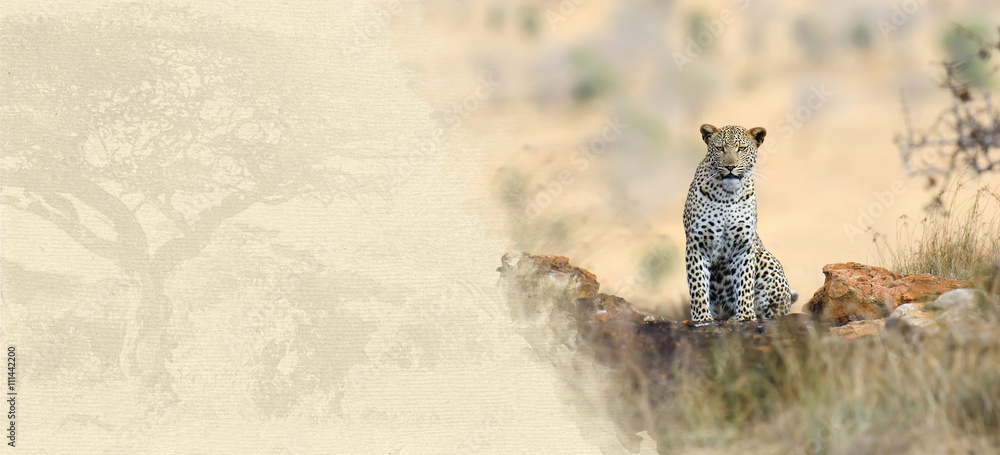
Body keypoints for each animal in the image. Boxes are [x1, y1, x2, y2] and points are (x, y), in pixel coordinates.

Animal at [683, 123, 796, 322]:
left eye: (741, 148)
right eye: (720, 148)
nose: (730, 166)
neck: (727, 195)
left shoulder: (743, 245)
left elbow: (745, 281)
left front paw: (745, 316)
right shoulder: (697, 244)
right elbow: (697, 284)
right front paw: (702, 317)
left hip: (766, 257)